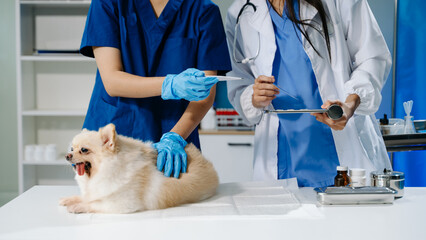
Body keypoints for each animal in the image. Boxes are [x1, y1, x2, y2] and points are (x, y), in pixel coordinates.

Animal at [59, 124, 218, 214]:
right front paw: (70, 199)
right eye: (72, 149)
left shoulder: (123, 204)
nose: (67, 155)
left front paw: (77, 206)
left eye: (84, 150)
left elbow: (94, 203)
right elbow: (88, 197)